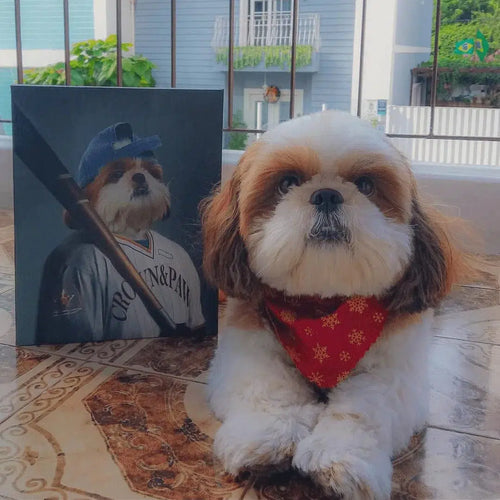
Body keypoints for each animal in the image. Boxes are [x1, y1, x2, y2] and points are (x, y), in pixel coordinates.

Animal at [200, 111, 472, 498]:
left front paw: (339, 459)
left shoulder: (396, 377)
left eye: (366, 184)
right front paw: (267, 438)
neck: (323, 309)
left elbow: (362, 411)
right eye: (287, 183)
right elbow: (266, 389)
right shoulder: (245, 351)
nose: (326, 194)